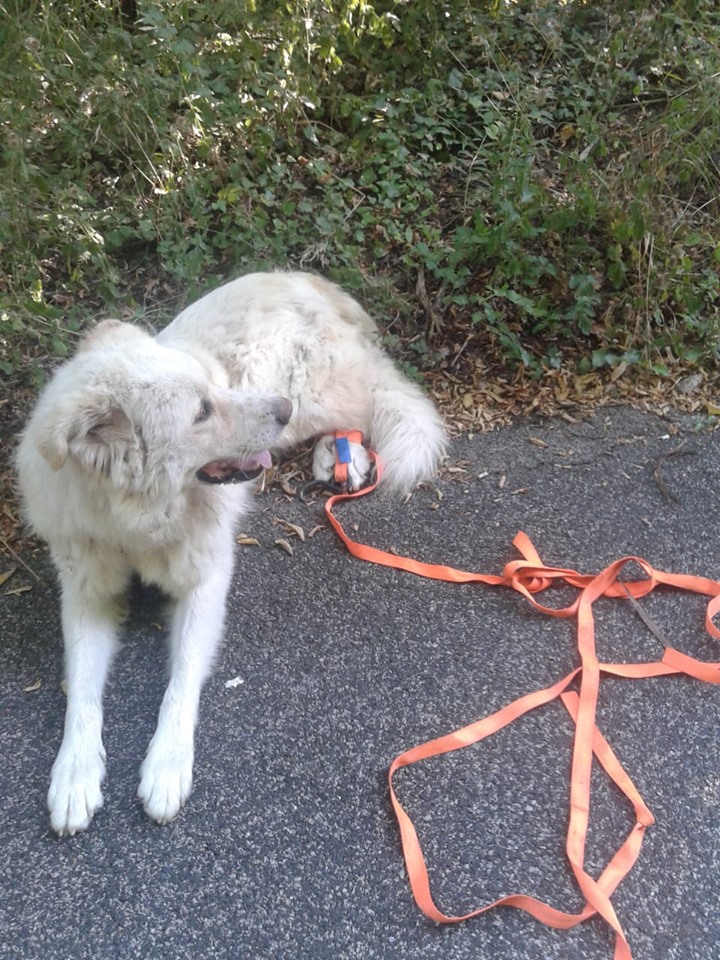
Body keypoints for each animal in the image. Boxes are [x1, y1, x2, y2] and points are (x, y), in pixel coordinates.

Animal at [15, 270, 444, 832]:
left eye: (215, 388)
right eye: (201, 411)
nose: (279, 408)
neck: (136, 520)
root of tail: (304, 277)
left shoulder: (205, 585)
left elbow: (180, 683)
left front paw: (166, 766)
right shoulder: (87, 596)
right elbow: (82, 693)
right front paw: (74, 774)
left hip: (315, 397)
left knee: (367, 408)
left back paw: (339, 456)